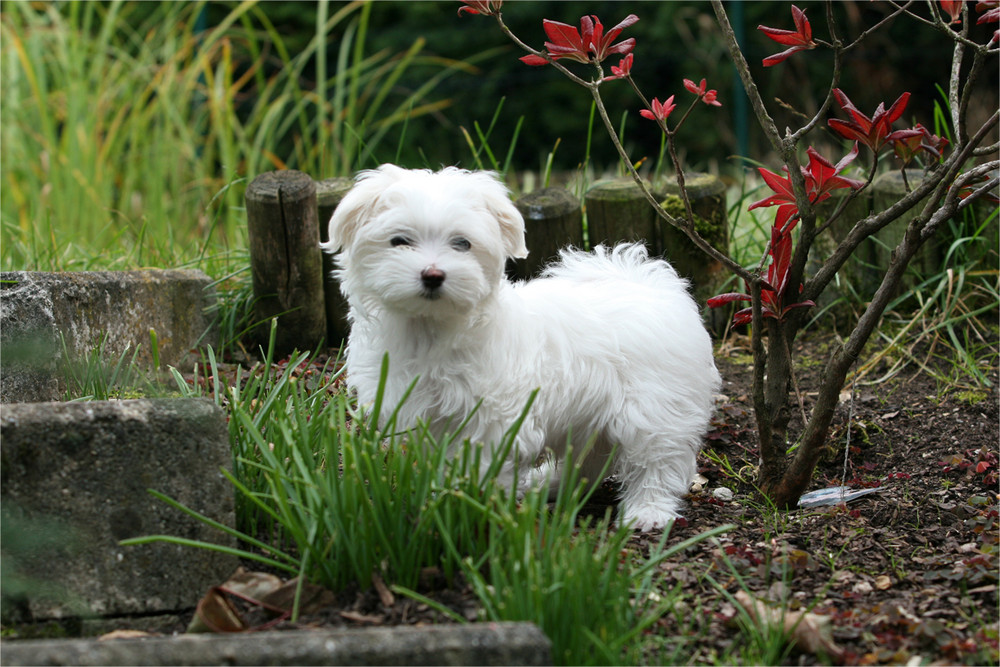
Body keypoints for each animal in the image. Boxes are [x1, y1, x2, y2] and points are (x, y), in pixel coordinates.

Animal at [324, 164, 724, 528]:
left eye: (462, 243)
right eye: (399, 241)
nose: (433, 275)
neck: (430, 329)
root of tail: (649, 284)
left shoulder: (493, 420)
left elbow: (482, 466)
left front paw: (472, 506)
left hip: (654, 408)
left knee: (658, 459)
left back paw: (647, 510)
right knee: (589, 459)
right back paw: (549, 484)